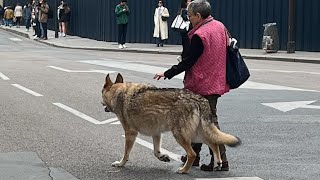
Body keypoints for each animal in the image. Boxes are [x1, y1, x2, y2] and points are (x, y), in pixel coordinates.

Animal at [102, 74, 240, 174]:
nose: (101, 104)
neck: (119, 92)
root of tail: (199, 99)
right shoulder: (156, 133)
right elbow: (156, 151)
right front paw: (163, 157)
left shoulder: (130, 134)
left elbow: (126, 153)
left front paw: (120, 164)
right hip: (197, 135)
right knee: (214, 144)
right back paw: (218, 163)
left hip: (180, 136)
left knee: (193, 154)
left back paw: (184, 170)